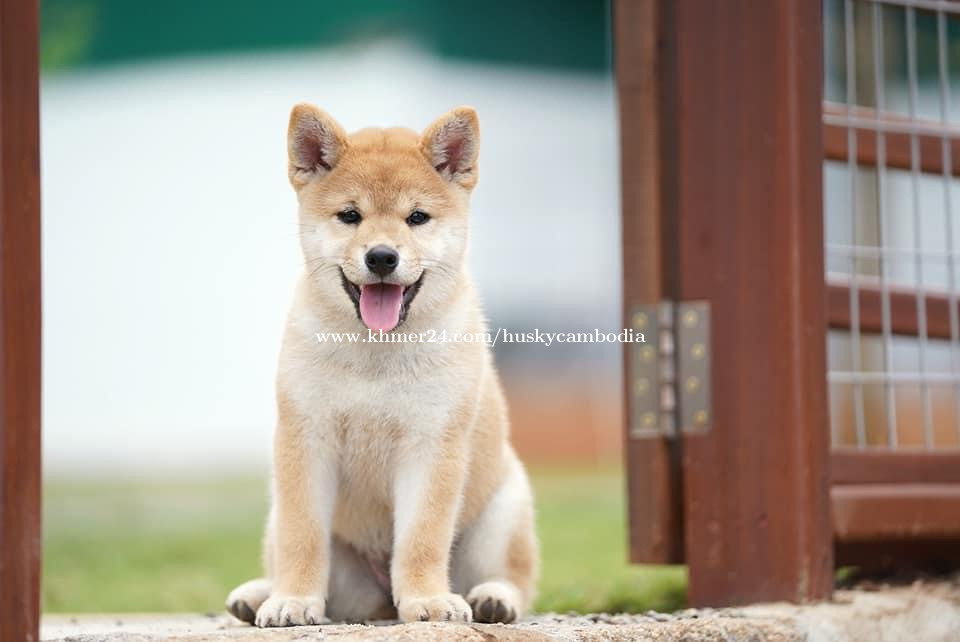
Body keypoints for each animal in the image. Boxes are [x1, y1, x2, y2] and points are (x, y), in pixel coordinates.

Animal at [225, 104, 538, 627]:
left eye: (417, 218)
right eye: (350, 216)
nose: (382, 257)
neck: (376, 354)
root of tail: (381, 604)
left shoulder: (432, 445)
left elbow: (421, 538)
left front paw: (429, 600)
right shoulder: (305, 439)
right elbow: (302, 537)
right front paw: (293, 599)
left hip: (504, 509)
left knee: (513, 576)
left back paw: (493, 598)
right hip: (295, 530)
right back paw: (258, 594)